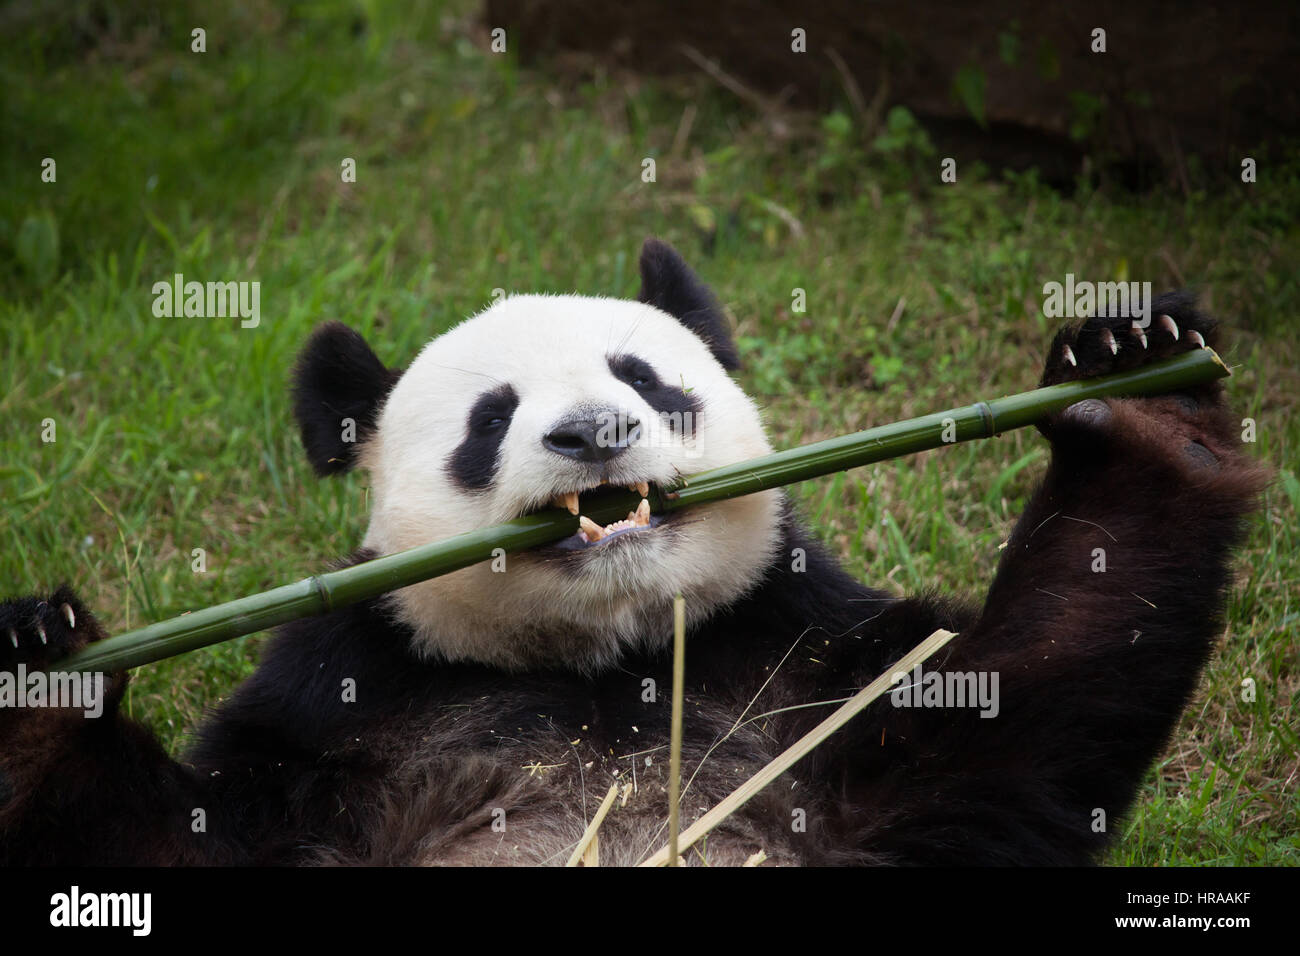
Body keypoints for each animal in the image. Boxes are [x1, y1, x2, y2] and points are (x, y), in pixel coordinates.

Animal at [0, 239, 1263, 868]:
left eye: (646, 379)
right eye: (491, 418)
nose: (594, 433)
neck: (609, 656)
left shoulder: (796, 651)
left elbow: (1009, 730)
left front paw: (1134, 384)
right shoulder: (350, 691)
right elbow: (189, 837)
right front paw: (39, 662)